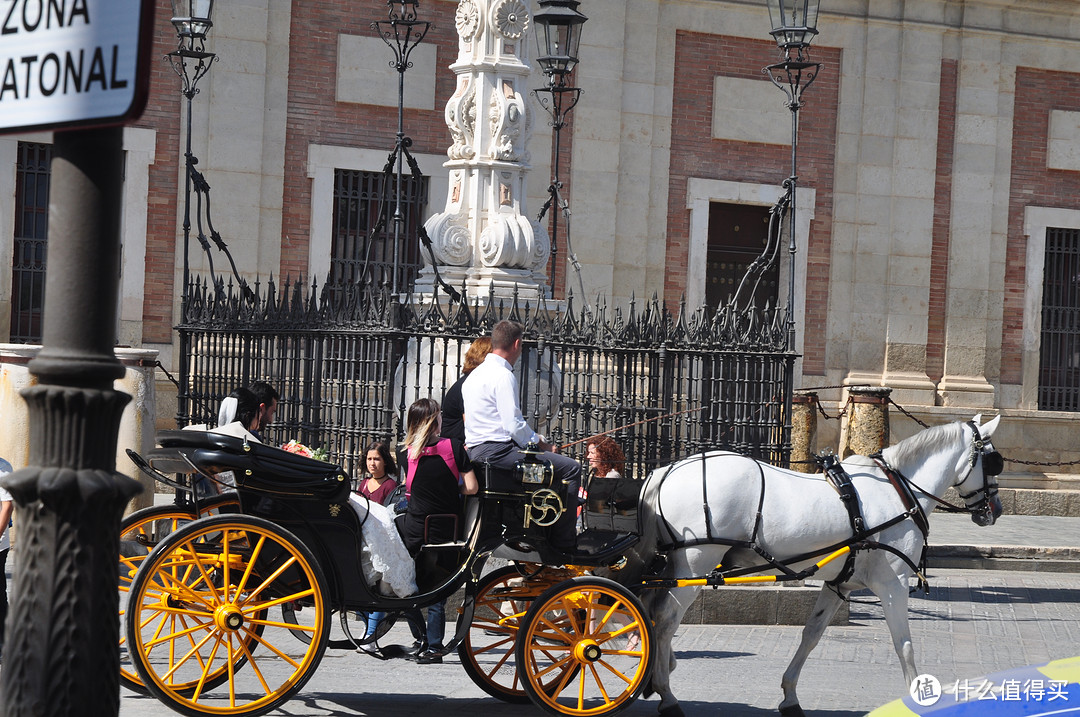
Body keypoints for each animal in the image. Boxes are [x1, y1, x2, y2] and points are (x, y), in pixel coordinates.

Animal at [630, 414, 1002, 717]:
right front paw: (918, 697)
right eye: (993, 460)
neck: (899, 491)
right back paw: (667, 694)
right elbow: (903, 644)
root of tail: (665, 471)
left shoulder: (839, 584)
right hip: (695, 564)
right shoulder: (893, 583)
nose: (995, 509)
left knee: (651, 612)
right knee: (665, 619)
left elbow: (812, 634)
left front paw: (789, 695)